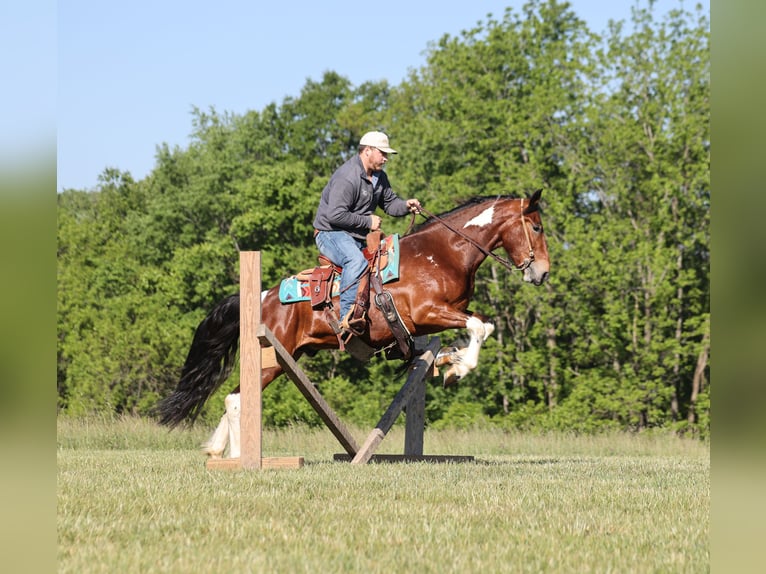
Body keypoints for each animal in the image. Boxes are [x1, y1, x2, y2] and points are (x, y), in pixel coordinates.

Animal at [157, 190, 550, 457]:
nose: (542, 273)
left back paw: (215, 450)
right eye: (536, 226)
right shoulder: (427, 312)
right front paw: (457, 367)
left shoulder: (439, 318)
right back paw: (238, 456)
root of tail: (262, 297)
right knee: (236, 398)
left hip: (285, 357)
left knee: (234, 396)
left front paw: (450, 360)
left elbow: (483, 326)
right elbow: (478, 327)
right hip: (272, 358)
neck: (443, 253)